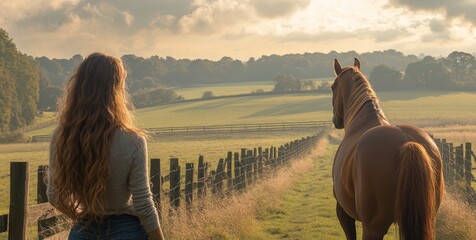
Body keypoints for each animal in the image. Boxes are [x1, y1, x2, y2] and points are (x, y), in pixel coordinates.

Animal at [330, 58, 444, 240]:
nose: (336, 120)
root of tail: (407, 144)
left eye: (333, 87)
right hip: (426, 219)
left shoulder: (343, 212)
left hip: (372, 228)